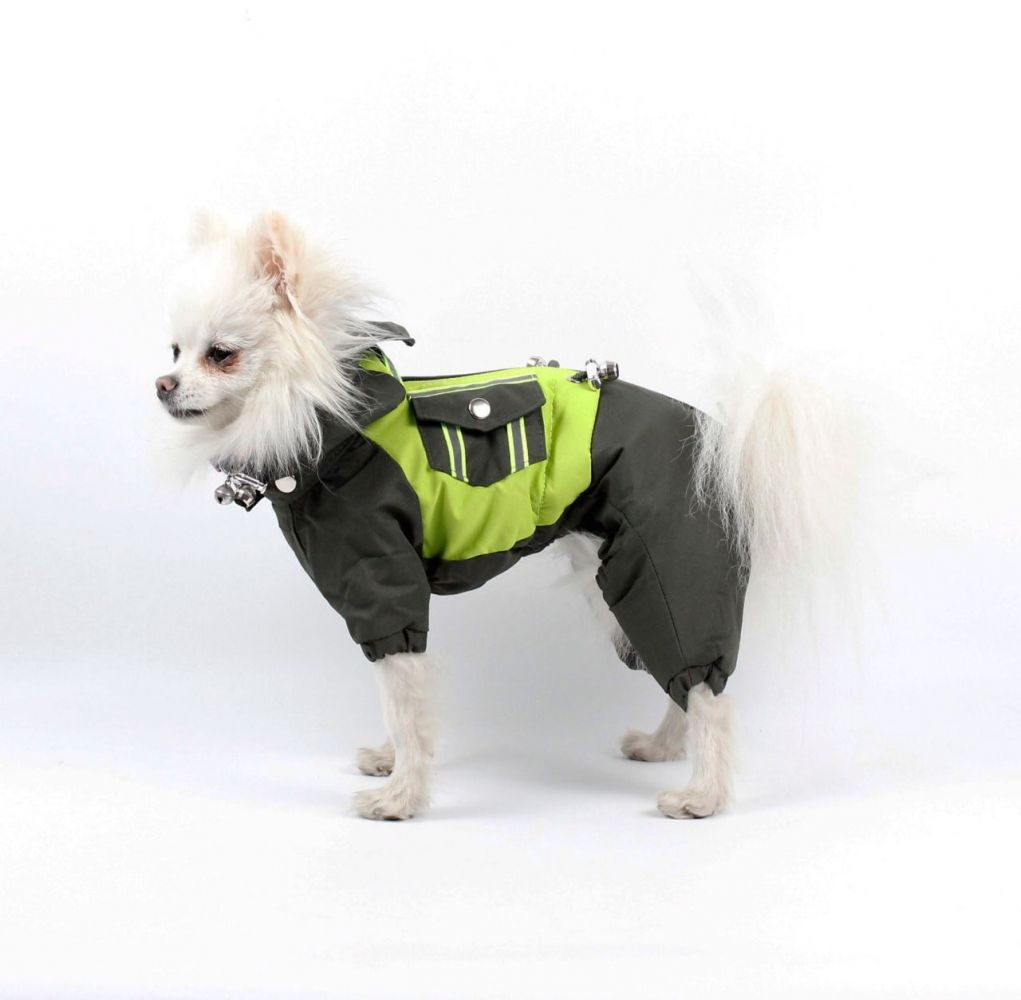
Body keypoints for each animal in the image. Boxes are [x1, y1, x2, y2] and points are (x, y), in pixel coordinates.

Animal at [156, 210, 841, 821]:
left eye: (221, 354)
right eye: (174, 350)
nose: (162, 385)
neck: (332, 423)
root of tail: (722, 439)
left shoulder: (385, 586)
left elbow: (405, 700)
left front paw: (401, 798)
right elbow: (402, 705)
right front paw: (391, 764)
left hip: (669, 562)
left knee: (705, 687)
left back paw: (704, 796)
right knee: (684, 677)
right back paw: (664, 747)